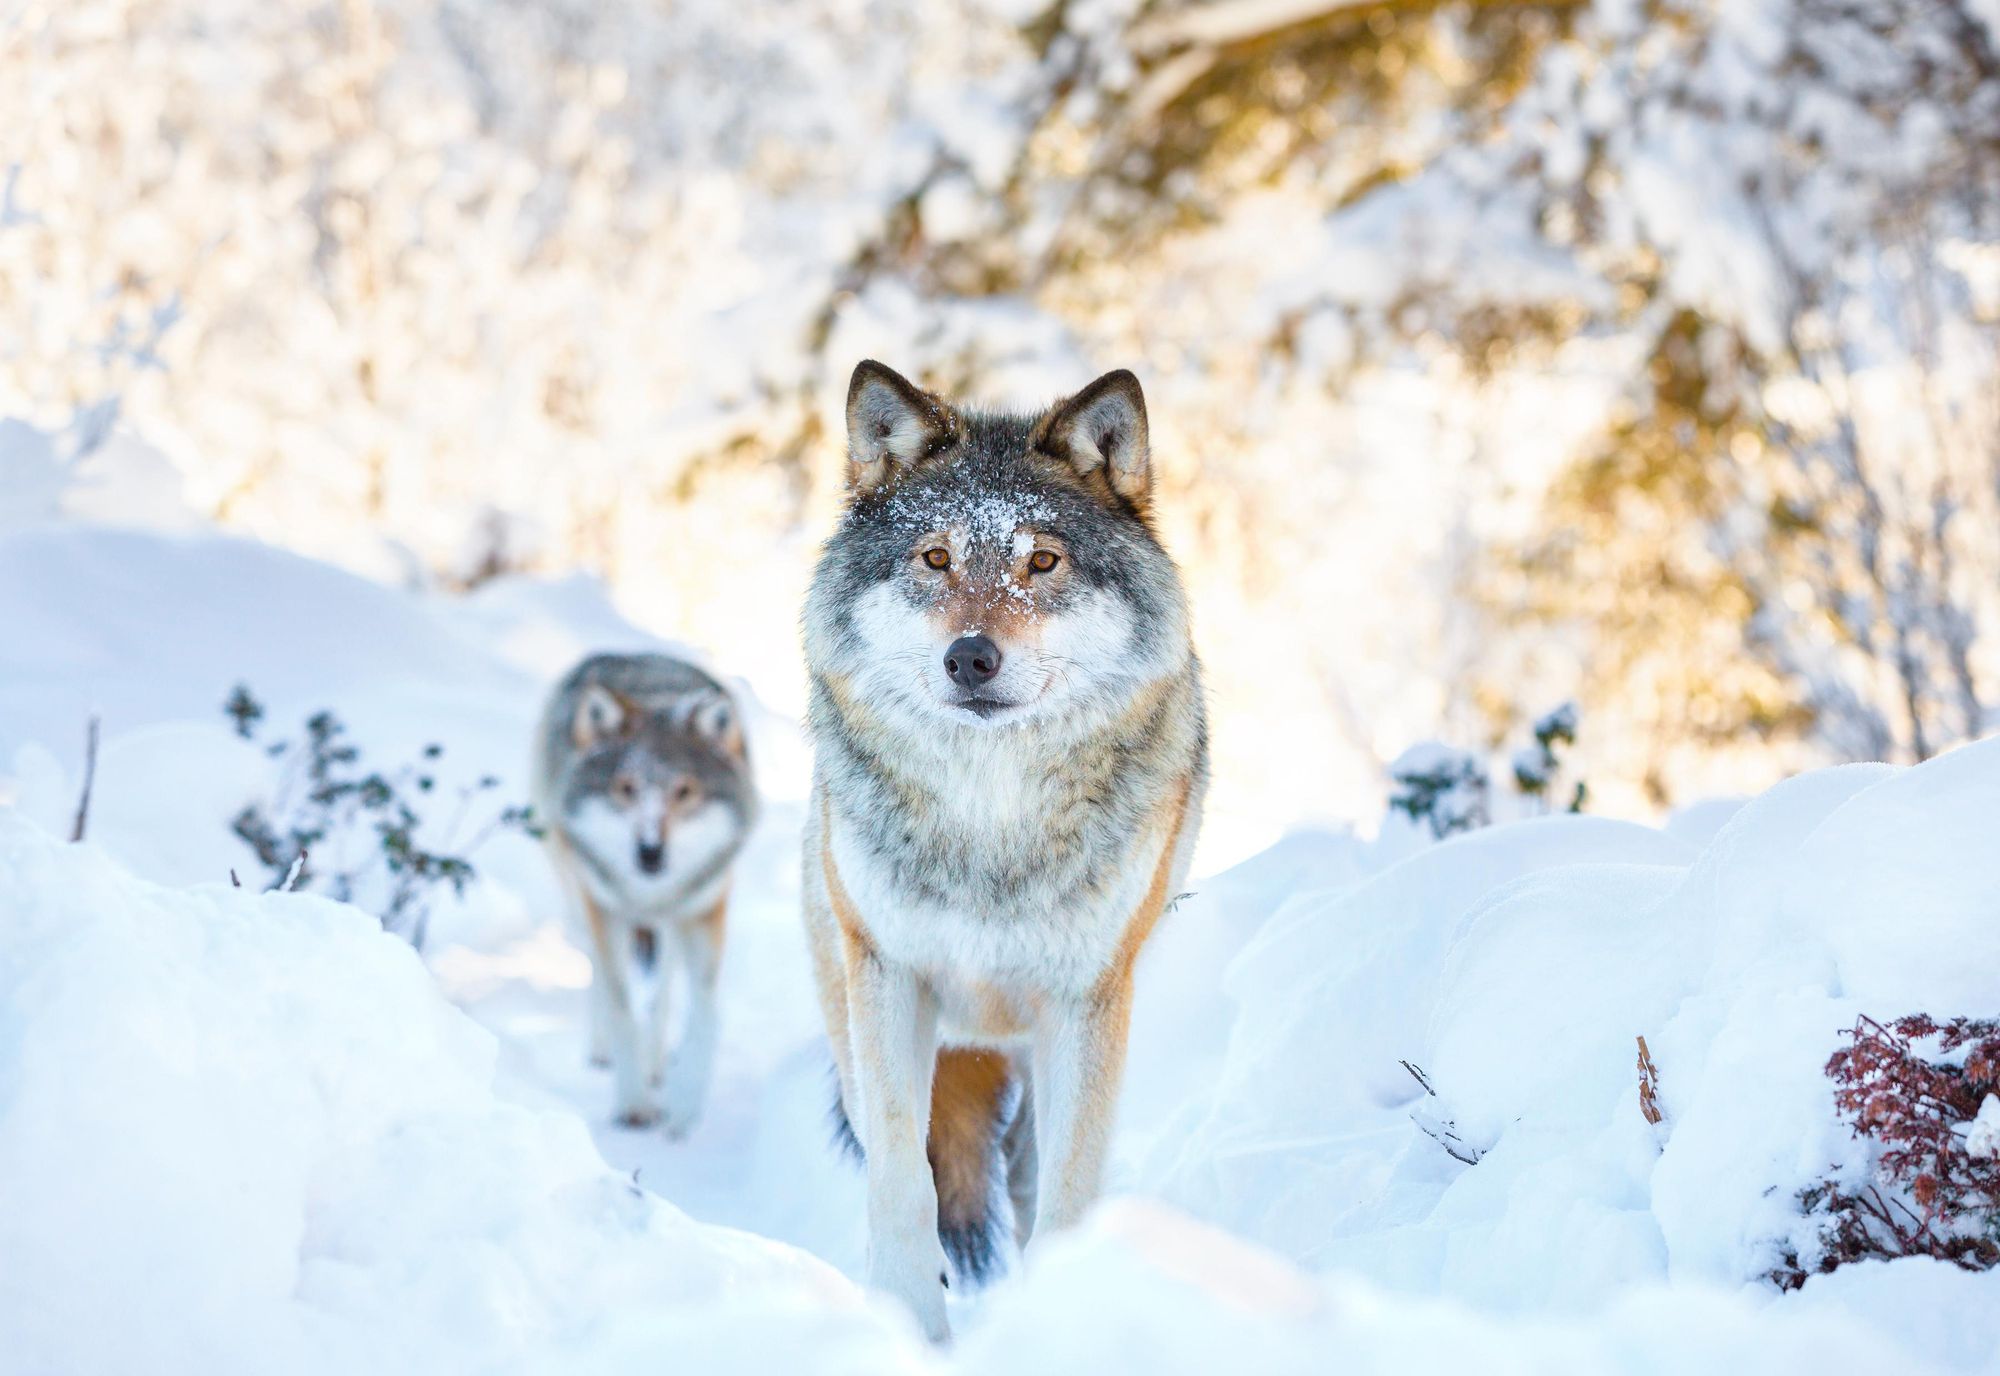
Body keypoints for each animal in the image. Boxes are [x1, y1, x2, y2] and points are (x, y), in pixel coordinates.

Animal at [532, 652, 756, 1136]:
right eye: (626, 788)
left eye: (685, 790)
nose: (650, 852)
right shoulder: (605, 908)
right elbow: (620, 1007)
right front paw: (634, 1102)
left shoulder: (704, 908)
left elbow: (704, 1012)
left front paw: (685, 1102)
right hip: (577, 894)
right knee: (599, 973)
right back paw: (604, 1050)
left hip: (671, 923)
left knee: (664, 987)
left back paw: (657, 1063)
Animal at [796, 360, 1200, 1336]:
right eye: (936, 558)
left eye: (1042, 561)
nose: (970, 658)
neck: (990, 818)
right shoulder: (890, 980)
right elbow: (904, 1187)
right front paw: (907, 1327)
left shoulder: (1087, 1002)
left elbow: (1067, 1195)